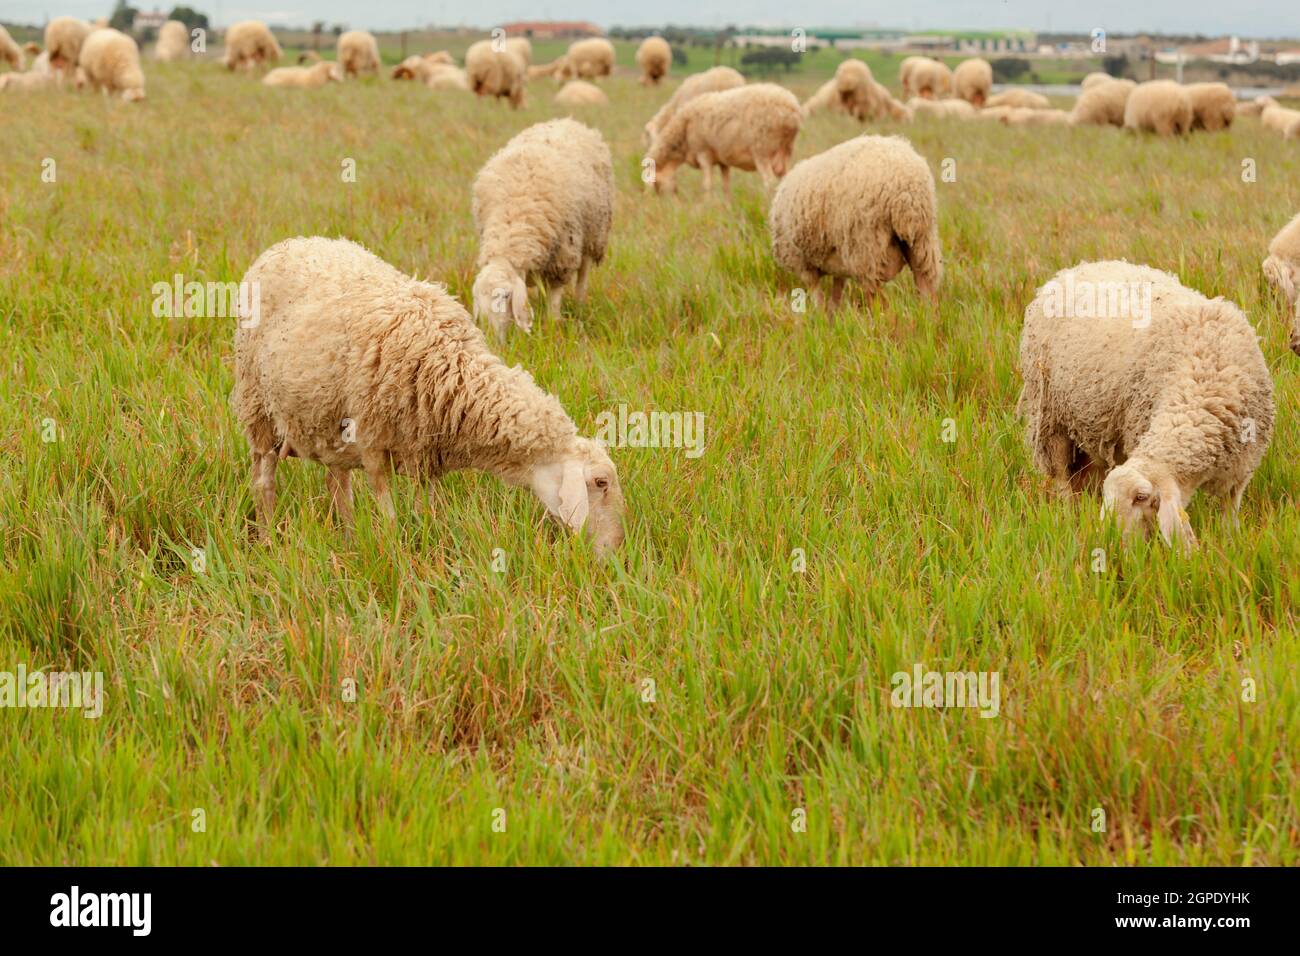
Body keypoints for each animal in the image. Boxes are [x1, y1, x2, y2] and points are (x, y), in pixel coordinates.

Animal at [232, 236, 626, 554]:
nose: (615, 552)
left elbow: (428, 510)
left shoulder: (425, 455)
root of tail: (286, 244)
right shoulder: (374, 445)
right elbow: (390, 517)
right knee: (264, 482)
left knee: (337, 484)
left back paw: (347, 540)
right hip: (258, 407)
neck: (454, 371)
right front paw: (396, 561)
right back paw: (266, 540)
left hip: (327, 423)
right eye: (600, 483)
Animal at [471, 118, 614, 335]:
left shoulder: (563, 255)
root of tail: (567, 120)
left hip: (594, 231)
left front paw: (553, 322)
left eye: (505, 296)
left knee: (584, 272)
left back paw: (580, 303)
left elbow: (554, 294)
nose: (492, 337)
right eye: (478, 298)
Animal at [646, 83, 802, 195]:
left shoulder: (703, 153)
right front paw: (728, 207)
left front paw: (705, 206)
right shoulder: (723, 161)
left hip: (762, 150)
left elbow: (707, 185)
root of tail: (791, 109)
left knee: (770, 182)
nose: (664, 202)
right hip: (786, 150)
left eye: (655, 183)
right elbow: (726, 186)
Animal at [770, 134, 941, 311]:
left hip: (866, 247)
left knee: (879, 302)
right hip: (923, 242)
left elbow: (818, 298)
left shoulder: (803, 264)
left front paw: (820, 316)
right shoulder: (837, 266)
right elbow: (835, 295)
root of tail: (906, 190)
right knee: (927, 289)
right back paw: (929, 315)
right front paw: (833, 316)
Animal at [1018, 260, 1273, 551]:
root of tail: (1073, 269)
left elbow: (1229, 512)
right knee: (1062, 477)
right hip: (1050, 419)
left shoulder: (1241, 469)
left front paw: (1231, 541)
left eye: (1141, 497)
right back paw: (1068, 513)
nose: (1109, 540)